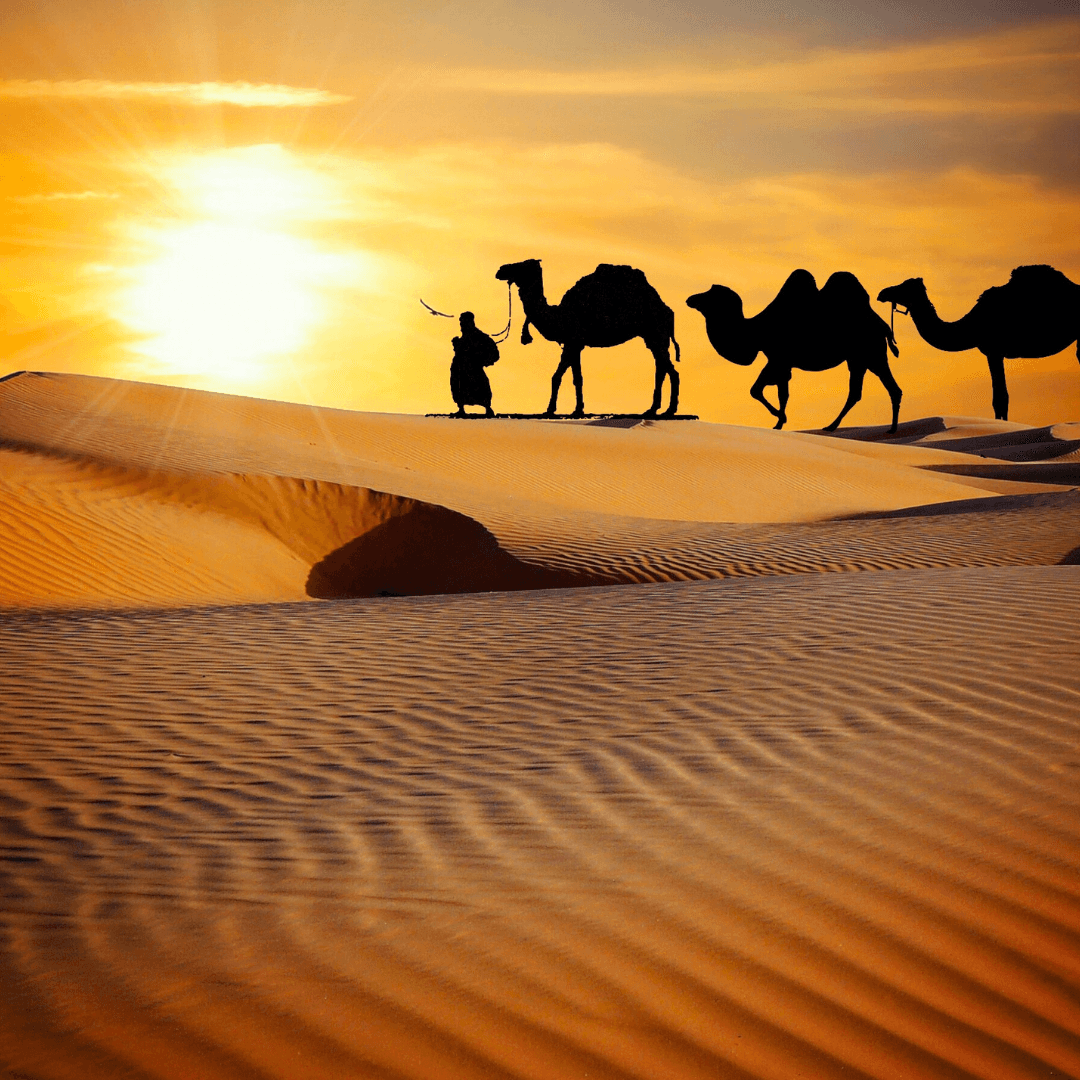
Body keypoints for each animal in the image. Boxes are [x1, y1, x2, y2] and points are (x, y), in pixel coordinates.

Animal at [495, 259, 680, 417]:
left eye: (523, 265)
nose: (500, 270)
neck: (559, 316)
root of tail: (668, 311)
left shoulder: (572, 342)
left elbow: (557, 376)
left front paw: (551, 410)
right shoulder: (575, 344)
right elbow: (576, 378)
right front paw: (577, 410)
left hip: (656, 333)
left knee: (670, 370)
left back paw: (669, 410)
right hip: (653, 337)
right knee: (661, 368)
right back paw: (653, 409)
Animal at [686, 270, 902, 432]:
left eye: (710, 295)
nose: (690, 299)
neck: (756, 330)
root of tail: (883, 326)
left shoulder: (778, 359)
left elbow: (758, 390)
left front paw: (780, 418)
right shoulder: (781, 362)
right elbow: (779, 392)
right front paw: (779, 421)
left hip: (870, 354)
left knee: (881, 389)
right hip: (859, 358)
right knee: (863, 391)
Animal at [877, 265, 1080, 421]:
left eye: (904, 287)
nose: (882, 293)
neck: (974, 323)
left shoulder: (994, 350)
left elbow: (1000, 398)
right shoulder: (993, 352)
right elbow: (999, 398)